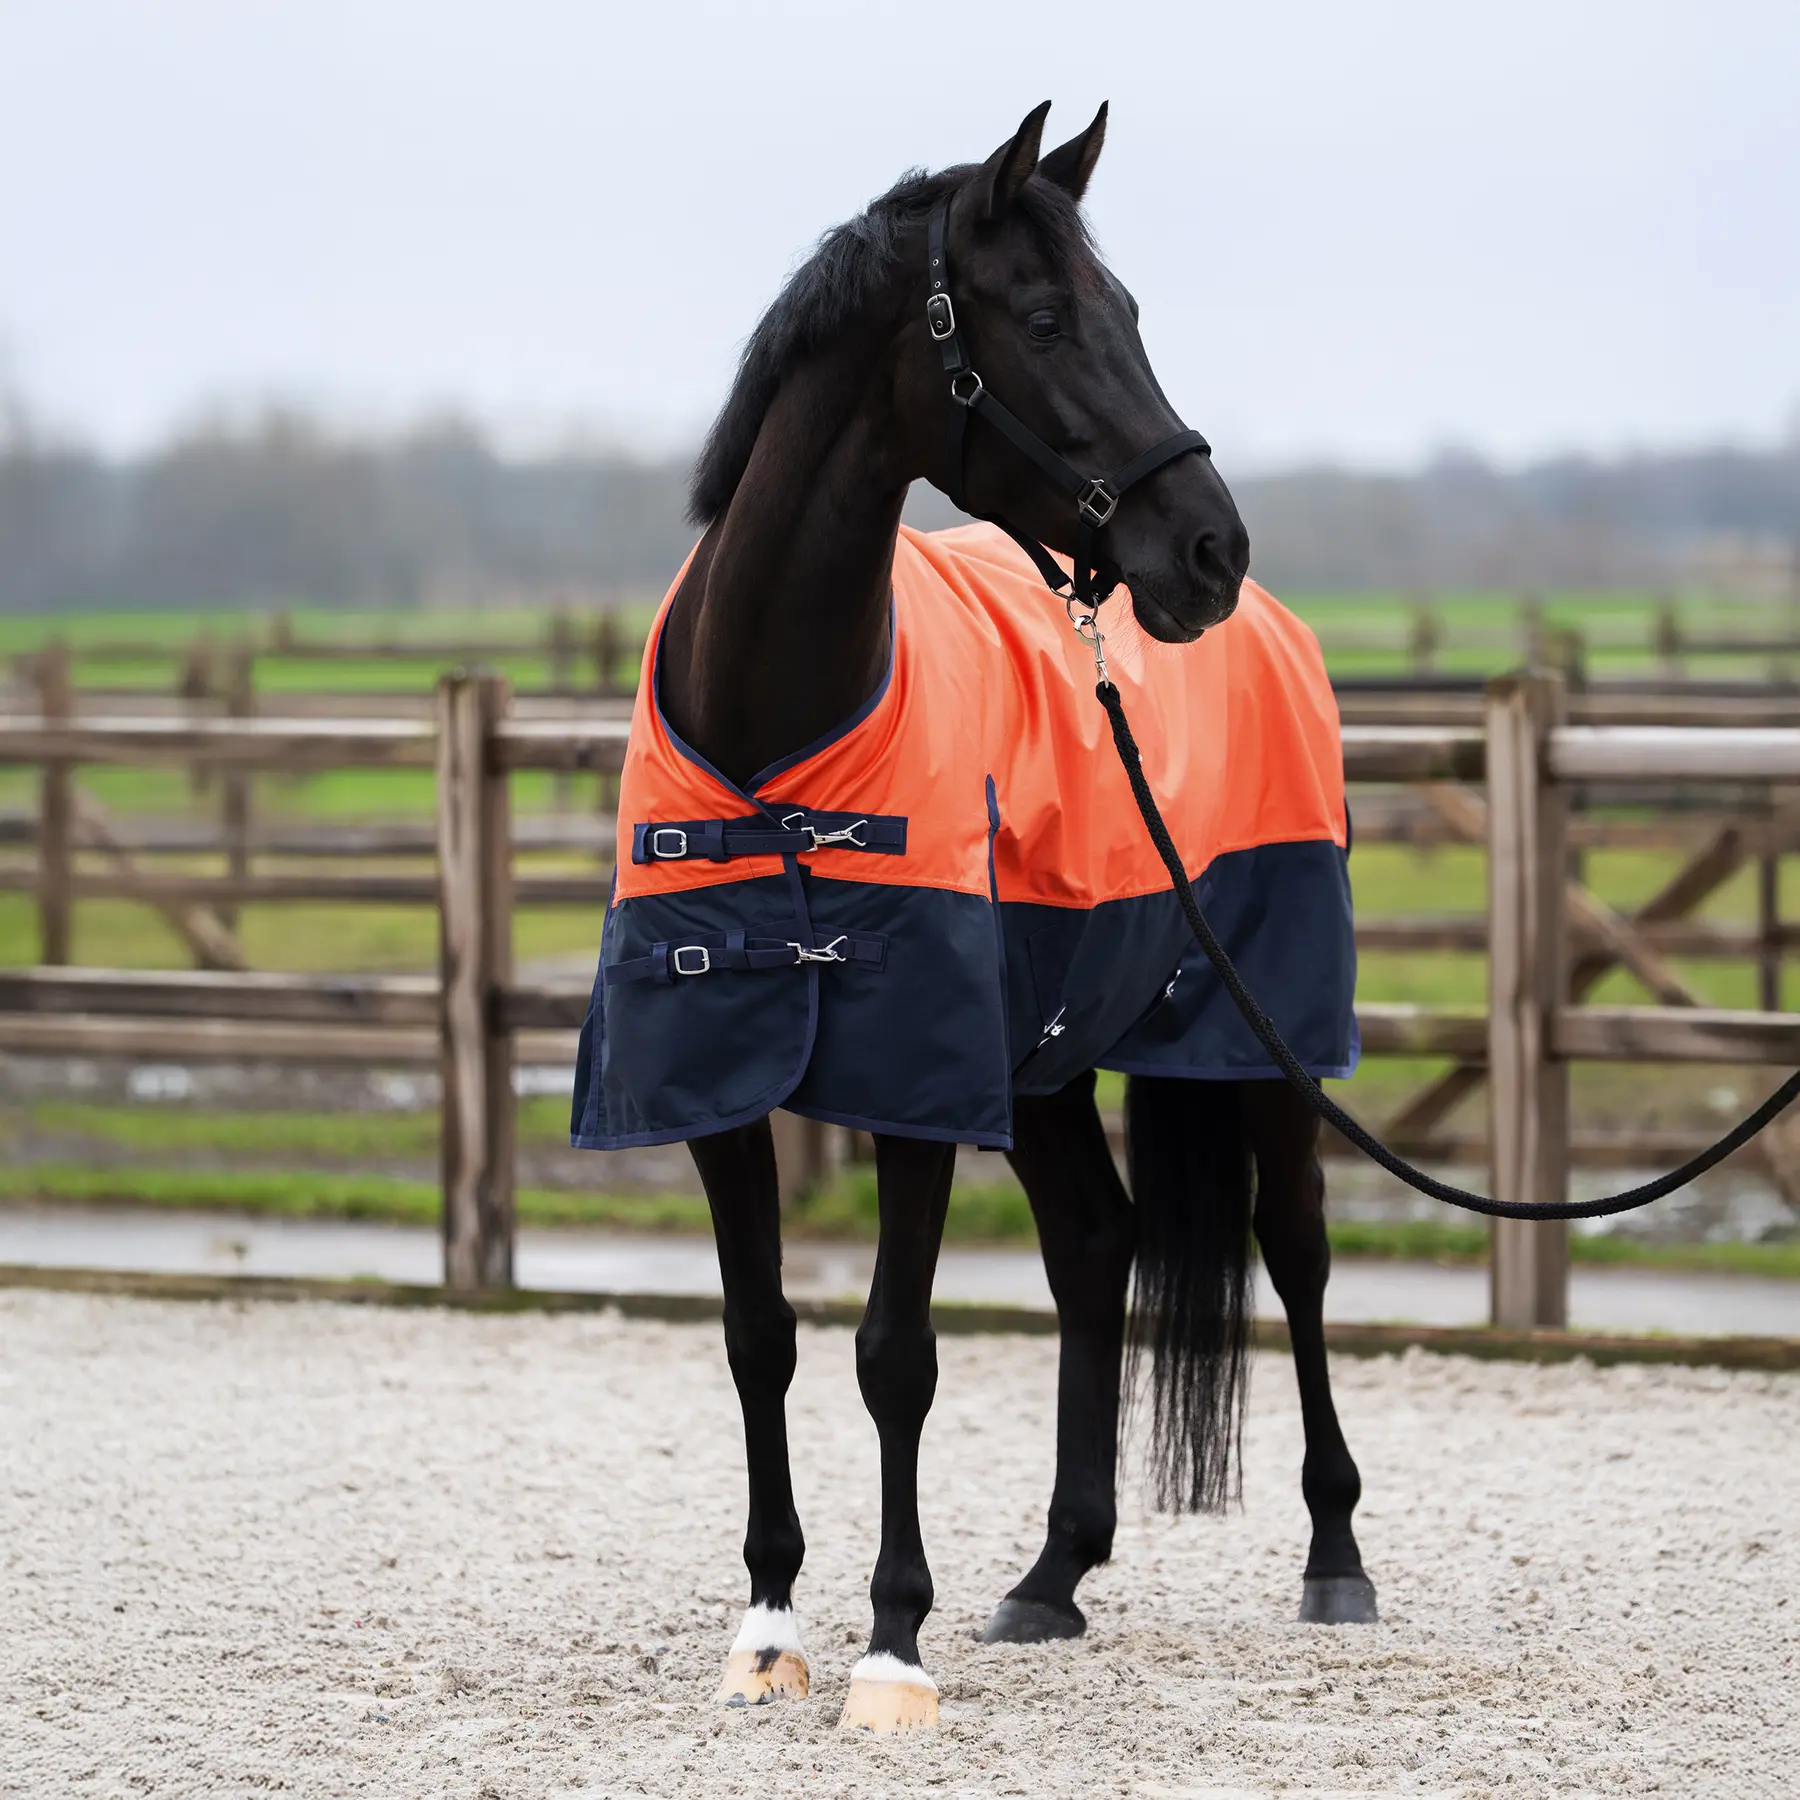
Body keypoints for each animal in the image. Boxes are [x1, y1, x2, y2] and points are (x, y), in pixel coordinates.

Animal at [572, 100, 1375, 1733]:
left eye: (1129, 311)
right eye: (1052, 320)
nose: (1209, 550)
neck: (776, 723)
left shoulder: (917, 1084)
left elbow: (896, 1354)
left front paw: (891, 1646)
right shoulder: (722, 1086)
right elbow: (760, 1338)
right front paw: (768, 1628)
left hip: (1266, 1037)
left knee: (1297, 1248)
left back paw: (1334, 1559)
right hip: (1050, 1057)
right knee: (1097, 1247)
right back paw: (1053, 1574)